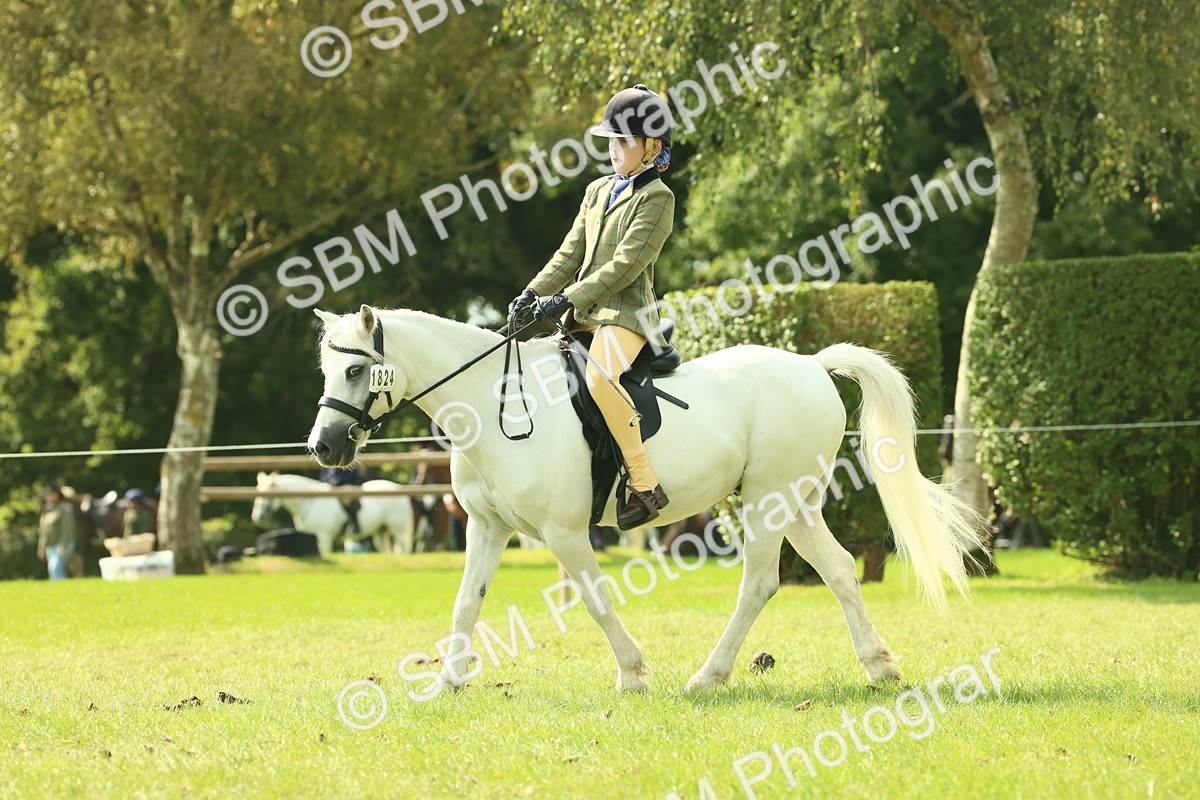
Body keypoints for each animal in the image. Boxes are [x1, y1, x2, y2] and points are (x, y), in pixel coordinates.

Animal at [250, 472, 415, 556]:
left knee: (404, 550)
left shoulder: (324, 536)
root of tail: (398, 489)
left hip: (399, 531)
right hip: (381, 532)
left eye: (266, 495)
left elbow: (325, 553)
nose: (257, 517)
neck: (310, 502)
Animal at [307, 306, 983, 693]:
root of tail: (812, 366)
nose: (323, 446)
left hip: (766, 502)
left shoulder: (565, 533)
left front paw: (632, 673)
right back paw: (880, 666)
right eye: (327, 370)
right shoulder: (485, 527)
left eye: (354, 371)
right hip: (796, 501)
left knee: (759, 583)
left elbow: (596, 602)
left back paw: (708, 676)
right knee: (840, 570)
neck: (491, 403)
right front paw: (447, 681)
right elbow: (465, 604)